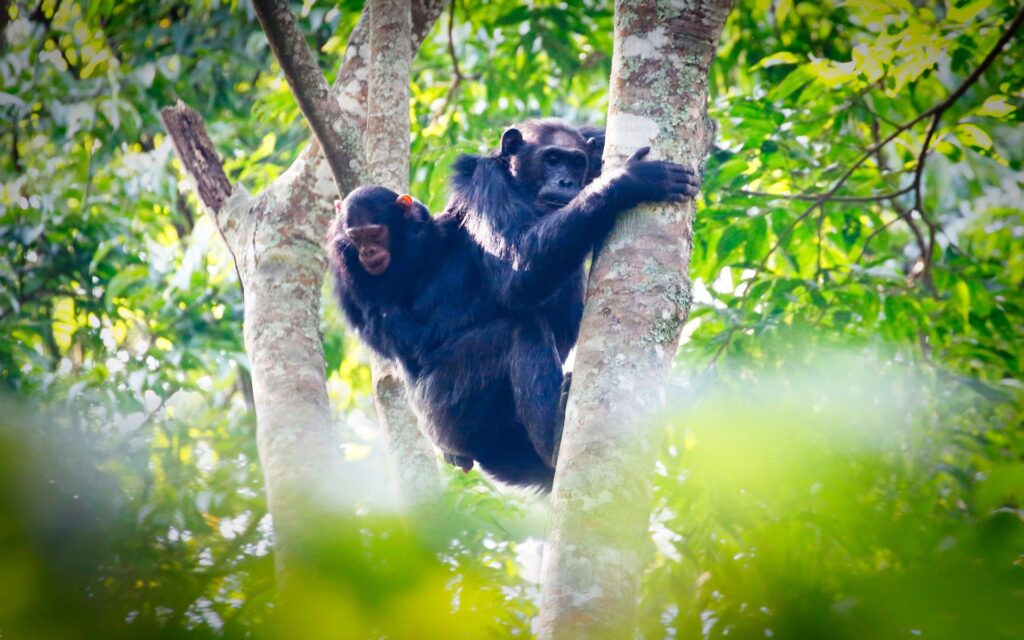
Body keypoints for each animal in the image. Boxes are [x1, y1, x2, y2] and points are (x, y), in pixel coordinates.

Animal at [331, 119, 700, 489]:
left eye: (575, 163)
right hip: (444, 402)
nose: (566, 181)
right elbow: (517, 269)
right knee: (523, 331)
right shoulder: (486, 187)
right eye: (552, 159)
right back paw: (554, 438)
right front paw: (630, 180)